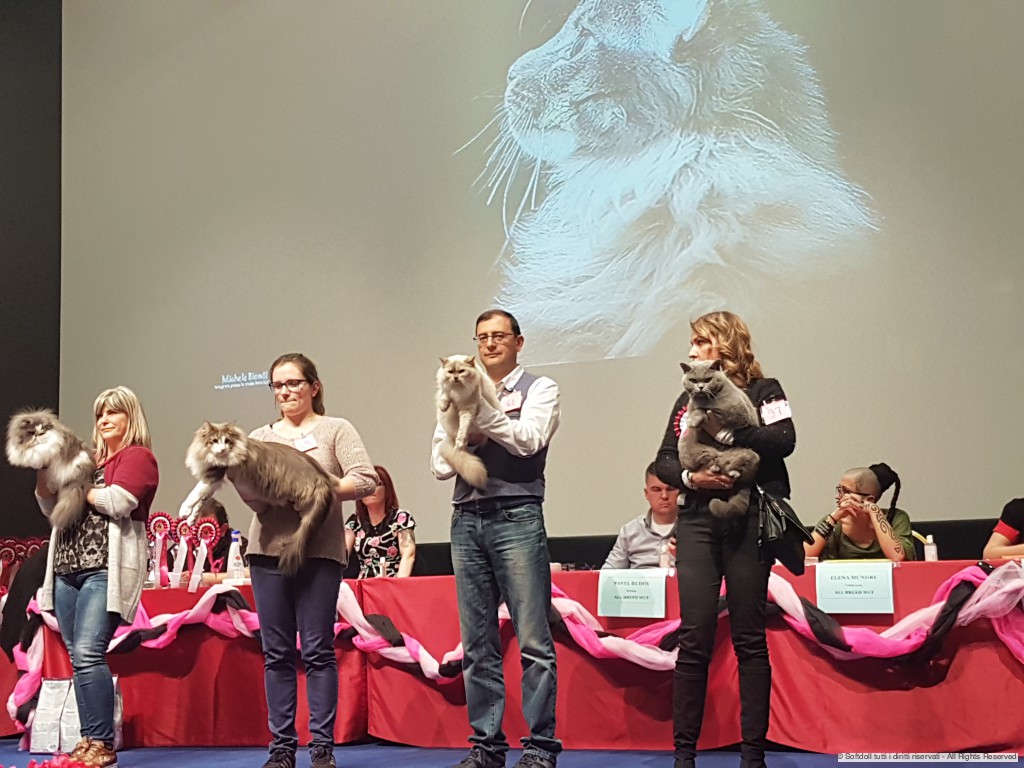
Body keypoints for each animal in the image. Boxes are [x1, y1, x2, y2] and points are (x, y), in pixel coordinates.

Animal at [179, 421, 335, 576]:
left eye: (227, 441)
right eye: (215, 440)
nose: (223, 449)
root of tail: (322, 479)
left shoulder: (215, 474)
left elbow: (195, 494)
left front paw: (184, 510)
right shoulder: (214, 480)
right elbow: (200, 502)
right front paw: (191, 519)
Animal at [436, 355, 501, 489]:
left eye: (461, 371)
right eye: (450, 372)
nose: (455, 378)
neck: (458, 390)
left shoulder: (467, 409)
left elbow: (463, 427)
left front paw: (459, 442)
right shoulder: (446, 390)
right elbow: (445, 395)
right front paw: (443, 406)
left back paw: (460, 444)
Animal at [676, 360, 760, 517]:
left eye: (708, 379)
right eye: (693, 380)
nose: (700, 387)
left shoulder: (737, 411)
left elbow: (707, 409)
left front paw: (696, 418)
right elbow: (697, 409)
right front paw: (693, 421)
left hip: (752, 454)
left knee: (739, 467)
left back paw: (731, 471)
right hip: (686, 448)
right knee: (706, 460)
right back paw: (714, 466)